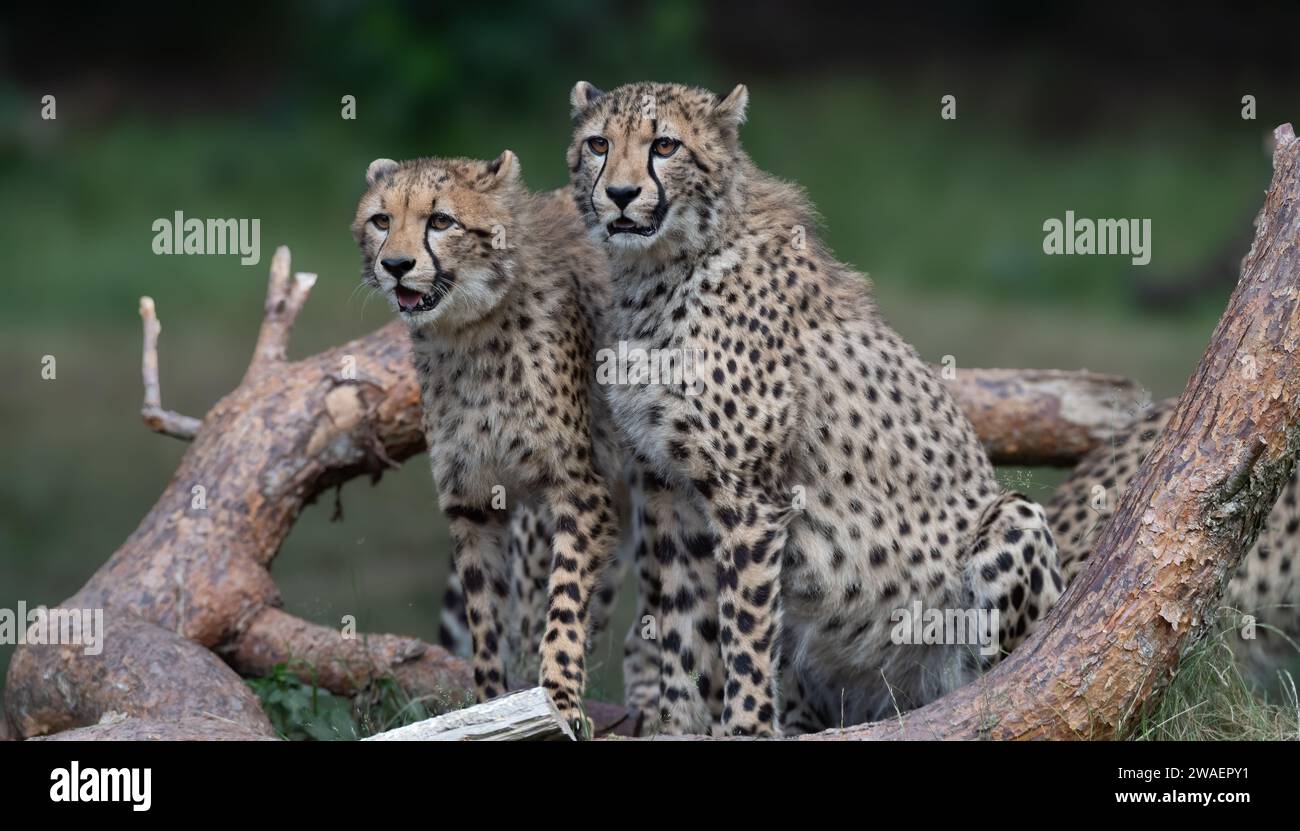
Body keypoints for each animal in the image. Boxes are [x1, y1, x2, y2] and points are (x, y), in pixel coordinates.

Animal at [353, 150, 626, 733]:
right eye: (381, 220)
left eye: (440, 221)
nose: (396, 265)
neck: (469, 332)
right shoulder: (473, 504)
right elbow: (484, 623)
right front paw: (490, 705)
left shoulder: (579, 491)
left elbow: (565, 603)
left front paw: (561, 701)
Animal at [564, 81, 1060, 738]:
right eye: (599, 144)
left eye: (664, 145)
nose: (619, 194)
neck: (659, 270)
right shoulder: (671, 494)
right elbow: (684, 627)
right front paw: (677, 724)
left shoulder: (749, 497)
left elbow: (743, 633)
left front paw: (745, 728)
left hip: (1011, 519)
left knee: (994, 674)